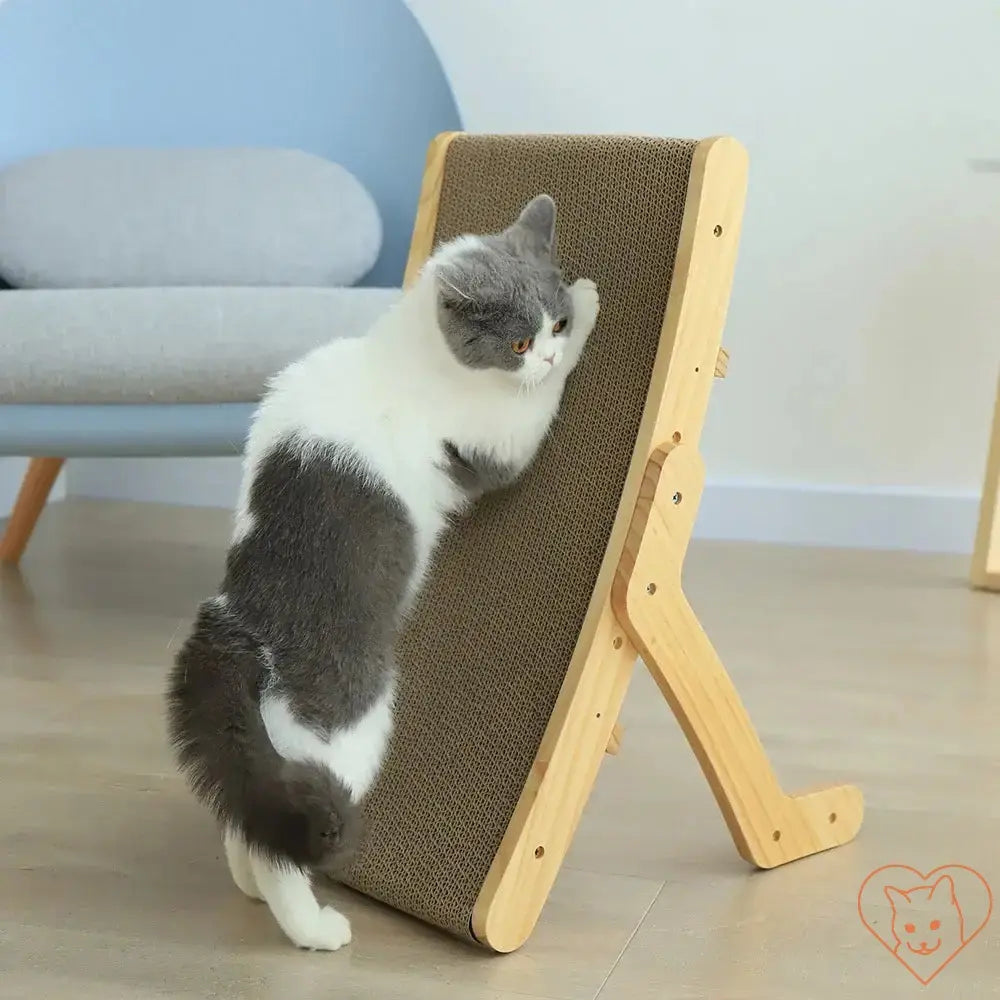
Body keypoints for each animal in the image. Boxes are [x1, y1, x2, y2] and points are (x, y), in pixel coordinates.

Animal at [165, 195, 600, 952]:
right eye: (519, 344)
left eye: (550, 323)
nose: (547, 347)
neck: (403, 353)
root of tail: (234, 625)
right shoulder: (494, 440)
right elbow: (531, 412)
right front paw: (591, 308)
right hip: (351, 723)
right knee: (287, 839)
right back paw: (312, 927)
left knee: (251, 811)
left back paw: (248, 883)